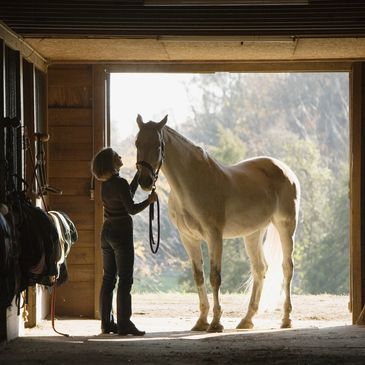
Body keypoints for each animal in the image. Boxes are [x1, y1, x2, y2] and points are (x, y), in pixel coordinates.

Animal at [135, 113, 300, 330]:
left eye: (158, 146)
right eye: (137, 143)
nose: (145, 181)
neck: (192, 184)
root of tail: (286, 170)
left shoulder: (214, 236)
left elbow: (215, 277)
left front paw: (215, 323)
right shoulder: (188, 238)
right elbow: (199, 276)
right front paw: (201, 321)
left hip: (285, 226)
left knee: (287, 268)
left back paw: (286, 319)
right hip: (253, 233)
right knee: (259, 269)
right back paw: (247, 319)